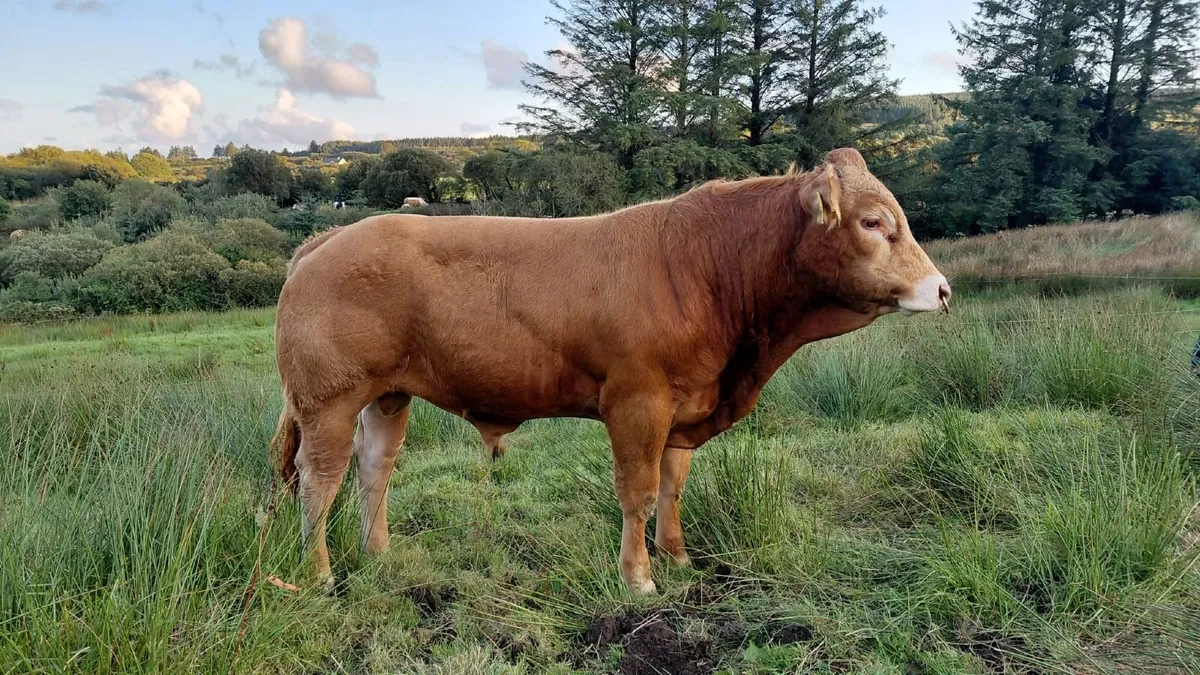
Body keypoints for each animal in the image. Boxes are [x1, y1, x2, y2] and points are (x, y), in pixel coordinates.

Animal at [270, 148, 950, 594]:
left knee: (374, 469)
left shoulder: (684, 408)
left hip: (387, 395)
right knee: (318, 480)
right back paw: (320, 575)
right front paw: (639, 579)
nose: (942, 289)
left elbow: (673, 487)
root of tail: (329, 239)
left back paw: (380, 557)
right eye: (872, 222)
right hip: (328, 399)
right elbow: (639, 492)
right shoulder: (637, 402)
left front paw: (677, 559)